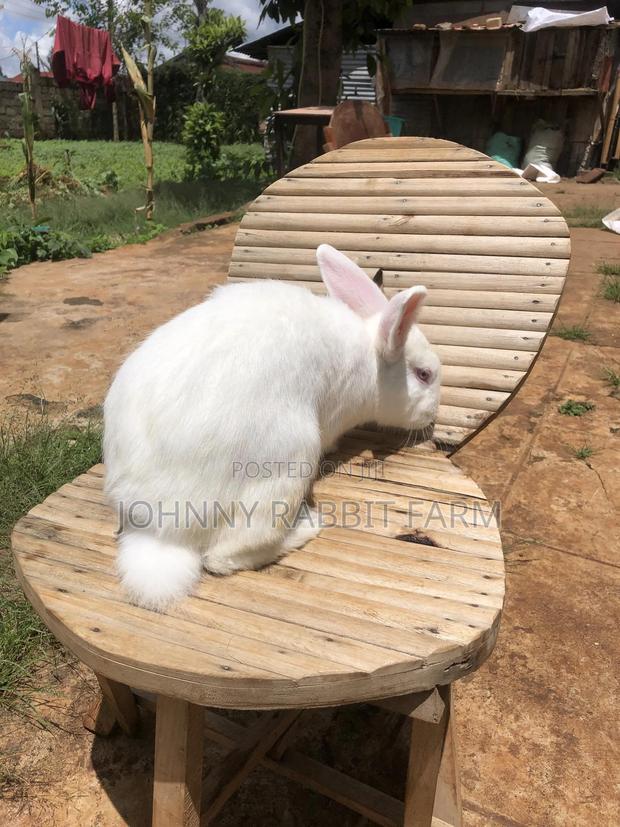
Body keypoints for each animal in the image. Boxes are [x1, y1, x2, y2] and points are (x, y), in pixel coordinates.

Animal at [103, 244, 441, 611]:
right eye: (424, 375)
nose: (433, 414)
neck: (370, 361)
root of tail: (160, 533)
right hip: (288, 464)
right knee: (222, 556)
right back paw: (306, 527)